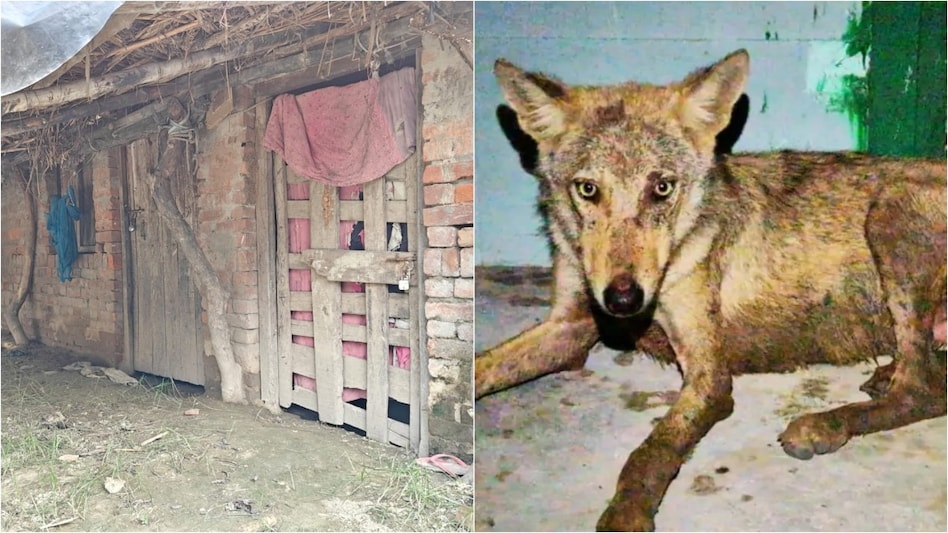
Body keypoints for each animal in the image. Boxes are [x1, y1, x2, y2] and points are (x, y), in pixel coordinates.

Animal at [475, 49, 947, 531]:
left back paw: (822, 425)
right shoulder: (568, 327)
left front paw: (625, 514)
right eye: (588, 189)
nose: (623, 301)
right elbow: (477, 369)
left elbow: (649, 453)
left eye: (662, 187)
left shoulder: (709, 376)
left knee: (921, 390)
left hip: (891, 207)